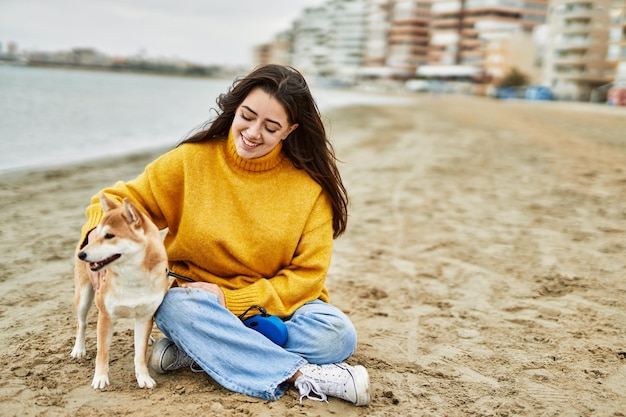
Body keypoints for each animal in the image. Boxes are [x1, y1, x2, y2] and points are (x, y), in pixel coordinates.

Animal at [70, 193, 168, 388]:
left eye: (109, 236)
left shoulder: (145, 316)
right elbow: (102, 352)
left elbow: (140, 354)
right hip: (83, 296)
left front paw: (143, 377)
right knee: (81, 323)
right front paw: (100, 378)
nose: (82, 255)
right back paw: (79, 349)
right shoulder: (105, 316)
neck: (132, 278)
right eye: (99, 235)